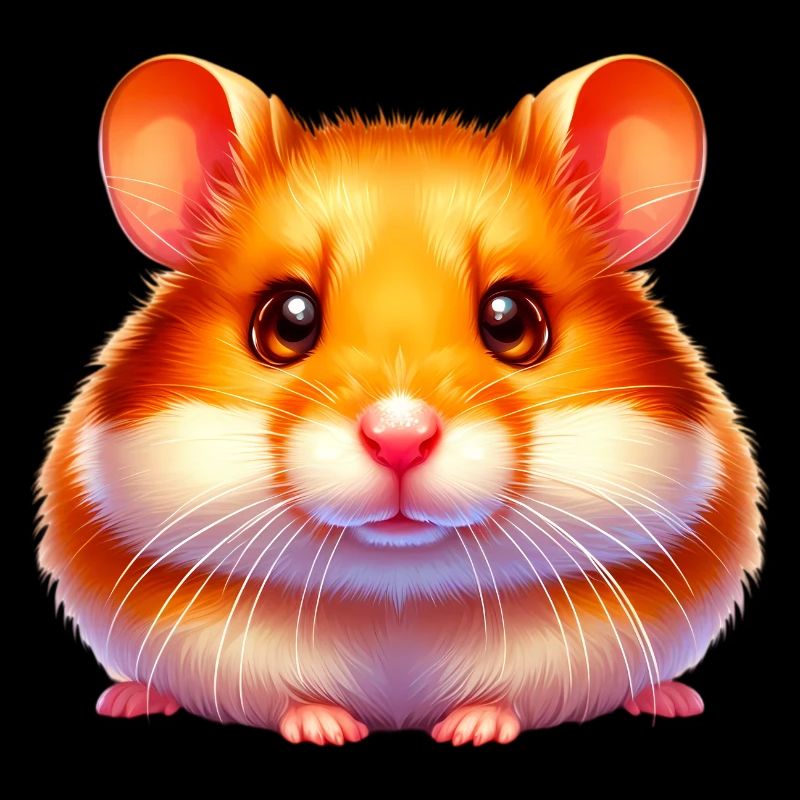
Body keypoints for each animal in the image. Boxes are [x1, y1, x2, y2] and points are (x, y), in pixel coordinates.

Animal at [36, 53, 763, 745]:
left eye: (512, 320)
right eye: (288, 319)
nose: (399, 438)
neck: (399, 594)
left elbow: (516, 700)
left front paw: (471, 732)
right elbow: (282, 699)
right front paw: (328, 731)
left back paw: (672, 699)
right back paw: (127, 699)